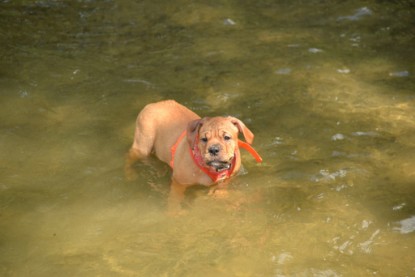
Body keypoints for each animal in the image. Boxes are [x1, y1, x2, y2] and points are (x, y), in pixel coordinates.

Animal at [125, 100, 262, 210]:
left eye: (227, 137)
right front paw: (174, 213)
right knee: (129, 157)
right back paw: (129, 174)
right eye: (204, 139)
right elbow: (174, 200)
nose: (213, 149)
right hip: (142, 145)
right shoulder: (178, 183)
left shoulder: (226, 180)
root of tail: (153, 104)